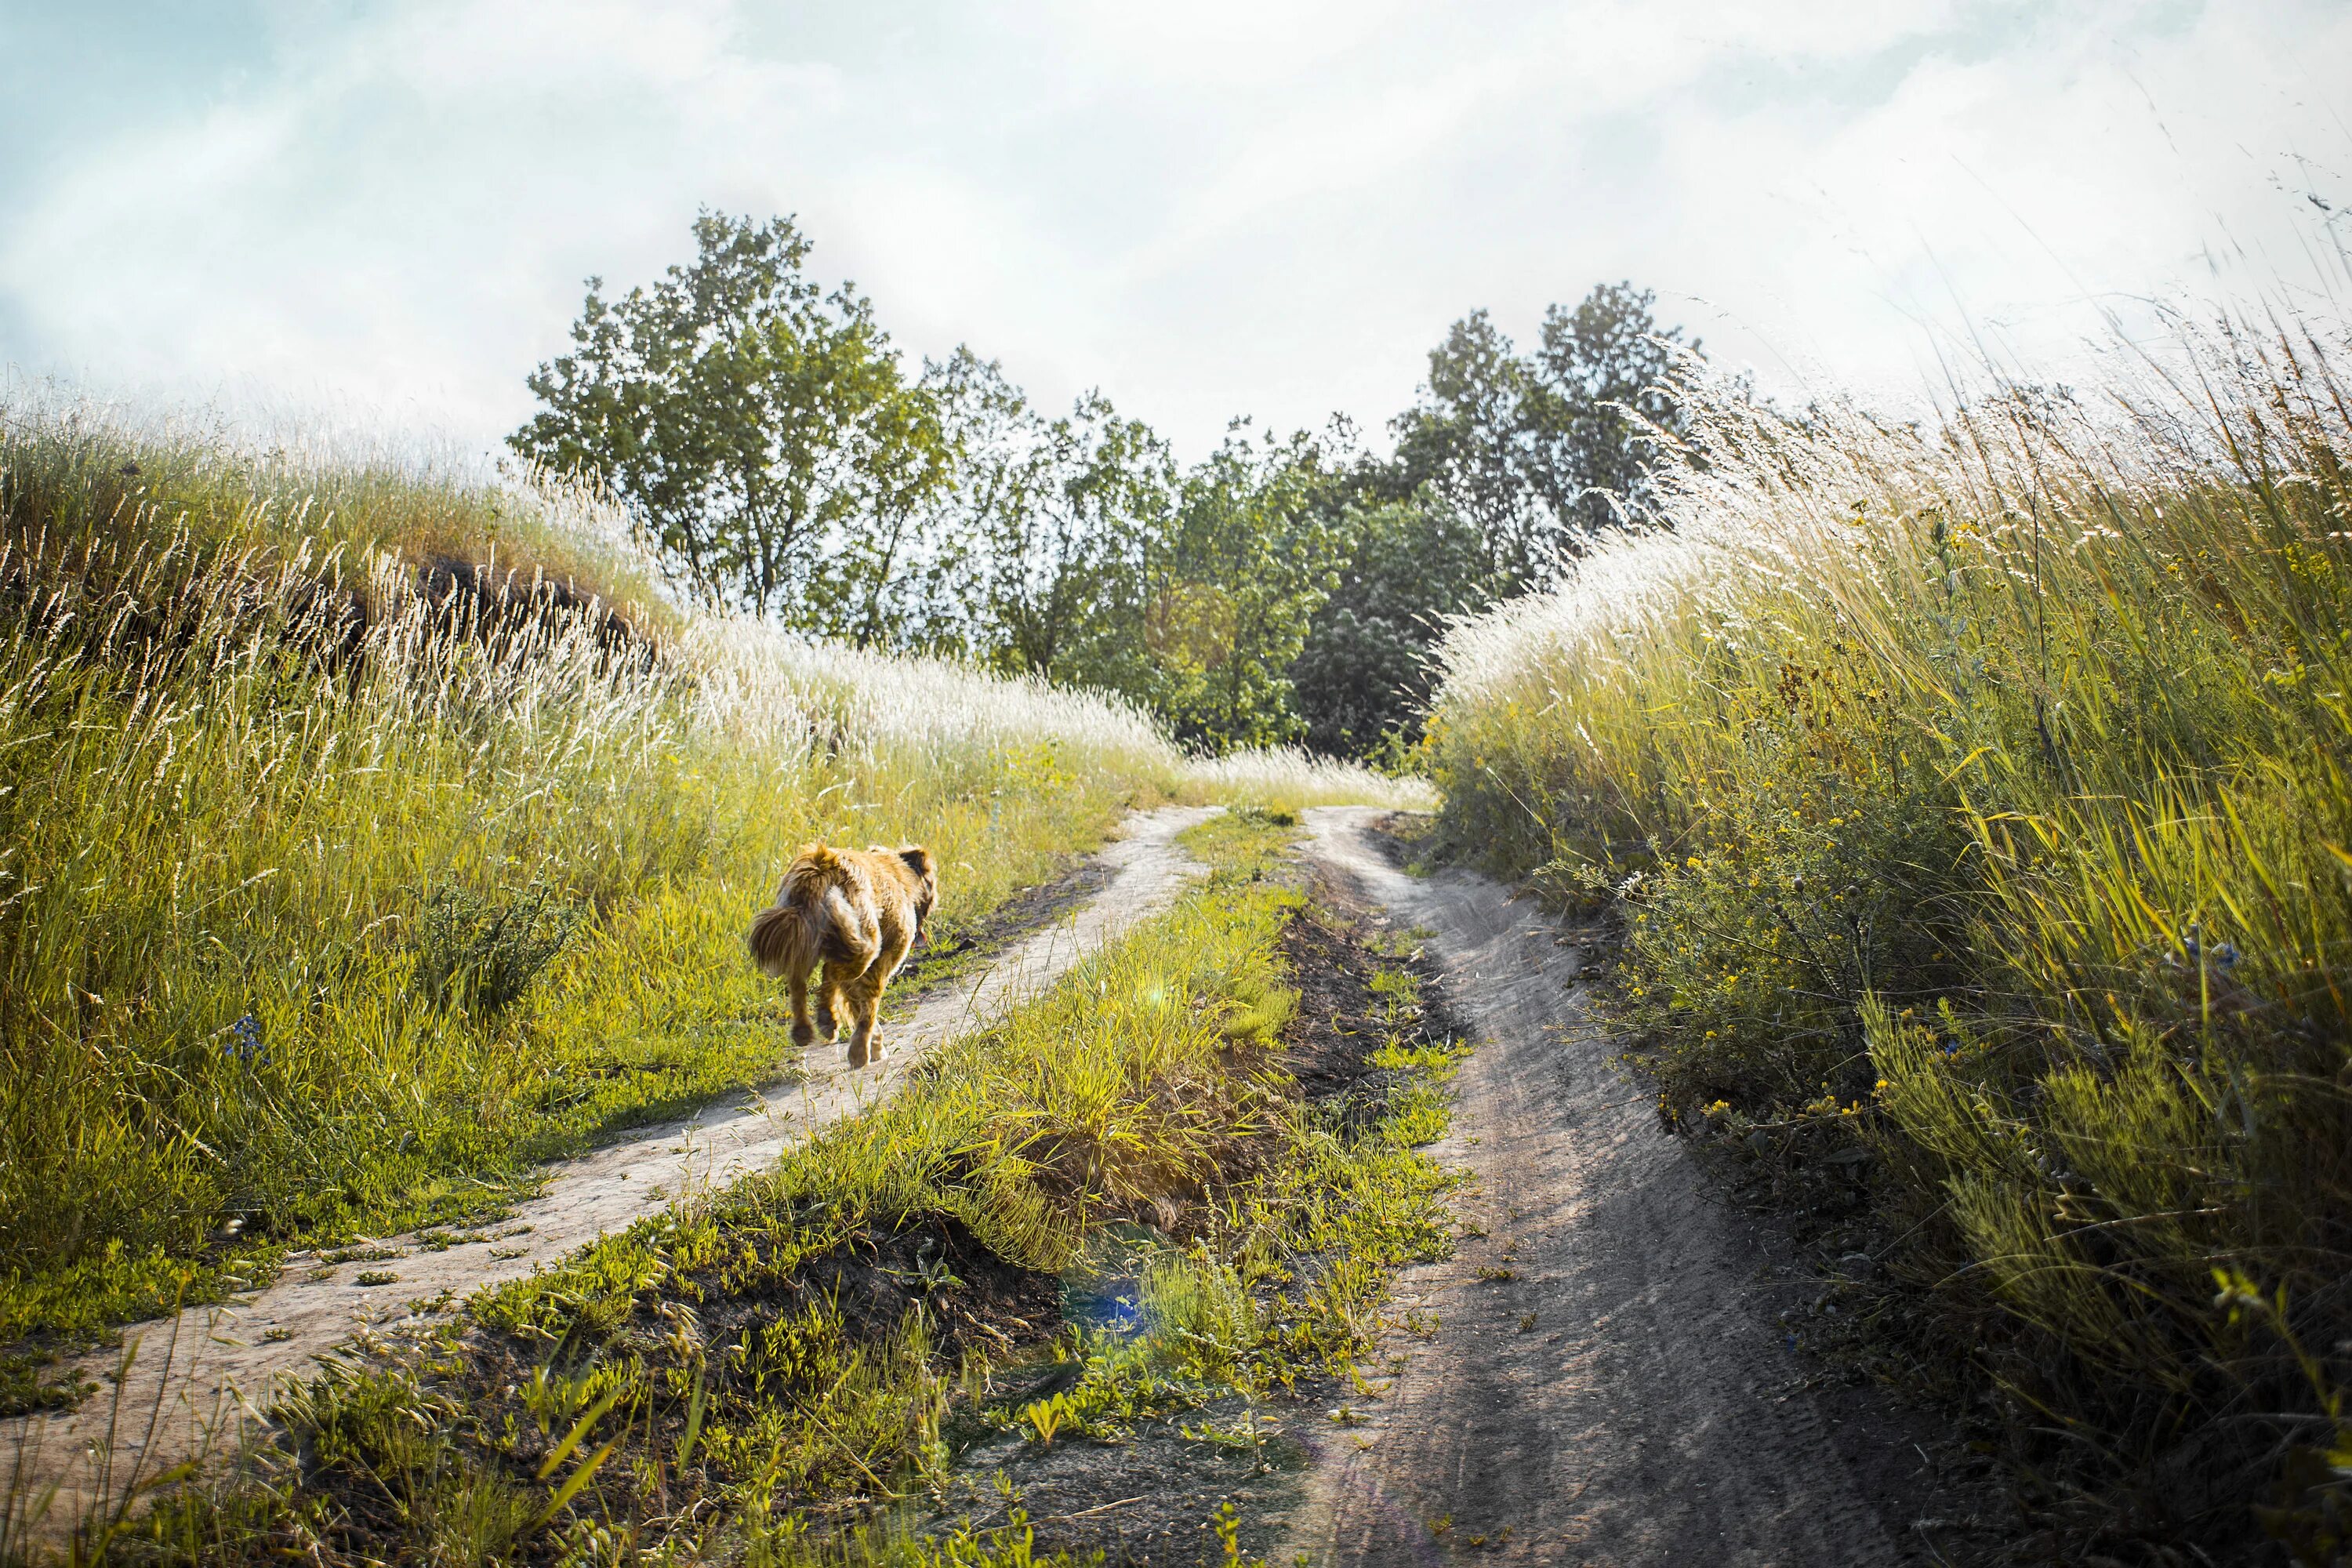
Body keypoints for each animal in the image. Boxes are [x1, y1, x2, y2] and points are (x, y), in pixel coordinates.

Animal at [753, 846, 936, 1067]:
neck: (900, 874)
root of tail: (821, 866)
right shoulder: (881, 963)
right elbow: (868, 1012)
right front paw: (862, 1052)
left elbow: (858, 1007)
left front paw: (873, 1044)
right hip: (865, 945)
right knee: (828, 973)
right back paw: (827, 1021)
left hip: (801, 939)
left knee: (799, 983)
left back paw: (804, 1030)